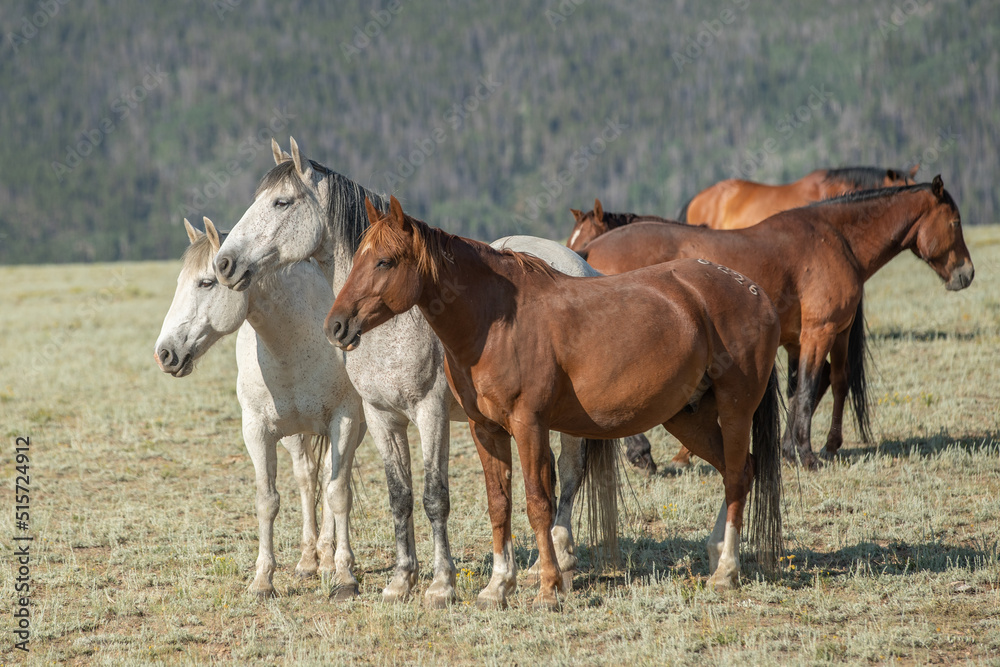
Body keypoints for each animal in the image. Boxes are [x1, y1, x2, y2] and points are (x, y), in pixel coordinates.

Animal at [152, 219, 364, 600]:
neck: (294, 340)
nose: (165, 353)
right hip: (296, 434)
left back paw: (327, 560)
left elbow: (339, 494)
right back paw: (309, 561)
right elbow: (267, 500)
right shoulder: (257, 430)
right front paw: (263, 581)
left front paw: (345, 577)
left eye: (206, 282)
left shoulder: (345, 421)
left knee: (328, 478)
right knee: (308, 477)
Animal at [213, 138, 608, 608]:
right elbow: (399, 496)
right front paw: (402, 579)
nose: (224, 263)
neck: (392, 323)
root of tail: (580, 264)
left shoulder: (430, 415)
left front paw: (441, 584)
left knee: (568, 473)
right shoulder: (382, 417)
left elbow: (435, 497)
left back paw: (560, 561)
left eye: (281, 202)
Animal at [324, 197, 784, 612]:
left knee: (736, 476)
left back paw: (726, 570)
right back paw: (717, 552)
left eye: (384, 262)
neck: (496, 321)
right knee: (739, 470)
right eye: (358, 258)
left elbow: (538, 503)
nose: (336, 325)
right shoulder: (485, 430)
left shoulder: (526, 424)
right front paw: (497, 587)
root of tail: (754, 291)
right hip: (688, 417)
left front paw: (547, 588)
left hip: (734, 409)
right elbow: (499, 504)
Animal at [580, 177, 976, 470]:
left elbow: (810, 388)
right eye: (956, 222)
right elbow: (808, 390)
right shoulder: (820, 332)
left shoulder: (809, 338)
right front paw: (806, 454)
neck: (835, 238)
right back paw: (643, 454)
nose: (966, 273)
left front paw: (792, 449)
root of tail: (591, 250)